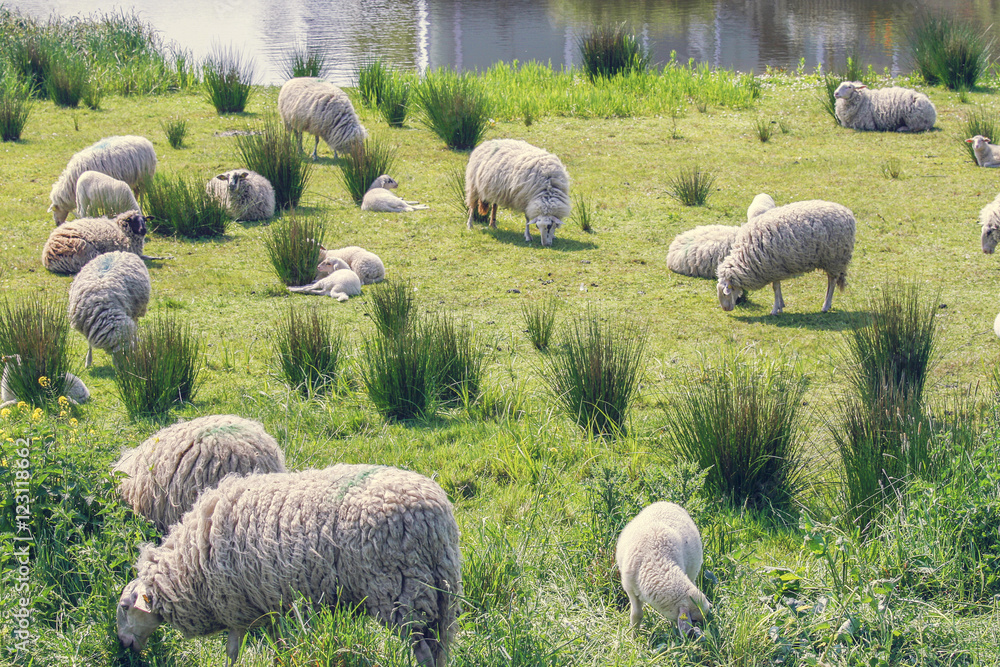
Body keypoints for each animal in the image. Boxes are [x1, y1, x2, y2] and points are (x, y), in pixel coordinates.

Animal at [116, 463, 462, 667]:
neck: (188, 567)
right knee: (438, 649)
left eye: (124, 607)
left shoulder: (238, 604)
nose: (123, 645)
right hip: (440, 591)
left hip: (398, 593)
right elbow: (272, 646)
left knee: (423, 654)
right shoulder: (265, 603)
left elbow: (232, 650)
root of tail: (433, 515)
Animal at [716, 200, 856, 315]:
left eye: (726, 293)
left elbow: (775, 288)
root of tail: (848, 213)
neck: (746, 257)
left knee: (832, 281)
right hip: (830, 260)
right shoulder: (775, 269)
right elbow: (777, 288)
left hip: (835, 258)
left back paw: (826, 306)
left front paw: (775, 309)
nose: (726, 309)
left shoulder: (773, 268)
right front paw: (781, 305)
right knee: (830, 280)